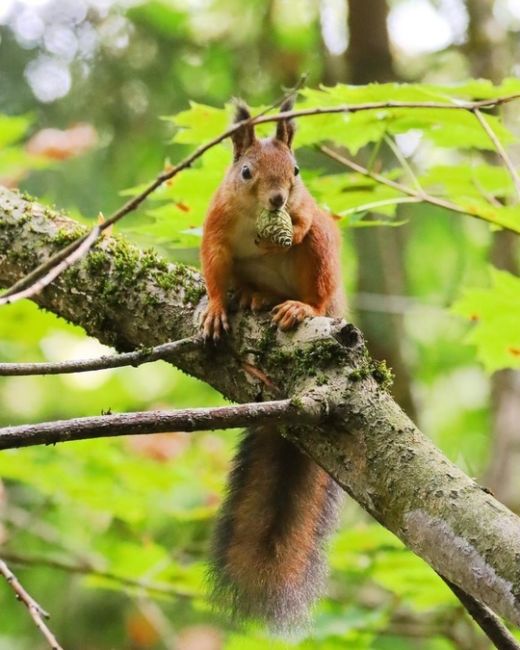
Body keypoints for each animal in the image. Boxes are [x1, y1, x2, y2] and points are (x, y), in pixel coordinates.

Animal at [202, 98, 346, 632]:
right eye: (246, 172)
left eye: (297, 171)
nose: (279, 199)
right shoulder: (216, 226)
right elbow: (212, 269)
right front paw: (214, 308)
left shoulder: (307, 212)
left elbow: (303, 223)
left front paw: (290, 226)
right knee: (248, 285)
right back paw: (254, 298)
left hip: (323, 262)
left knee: (319, 285)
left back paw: (299, 308)